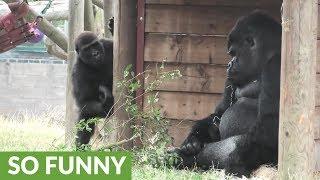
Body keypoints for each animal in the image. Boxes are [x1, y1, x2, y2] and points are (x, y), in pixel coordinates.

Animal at [174, 10, 282, 176]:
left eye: (233, 53)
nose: (229, 64)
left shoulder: (276, 65)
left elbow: (269, 124)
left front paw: (235, 164)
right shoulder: (231, 78)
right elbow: (218, 114)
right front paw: (193, 139)